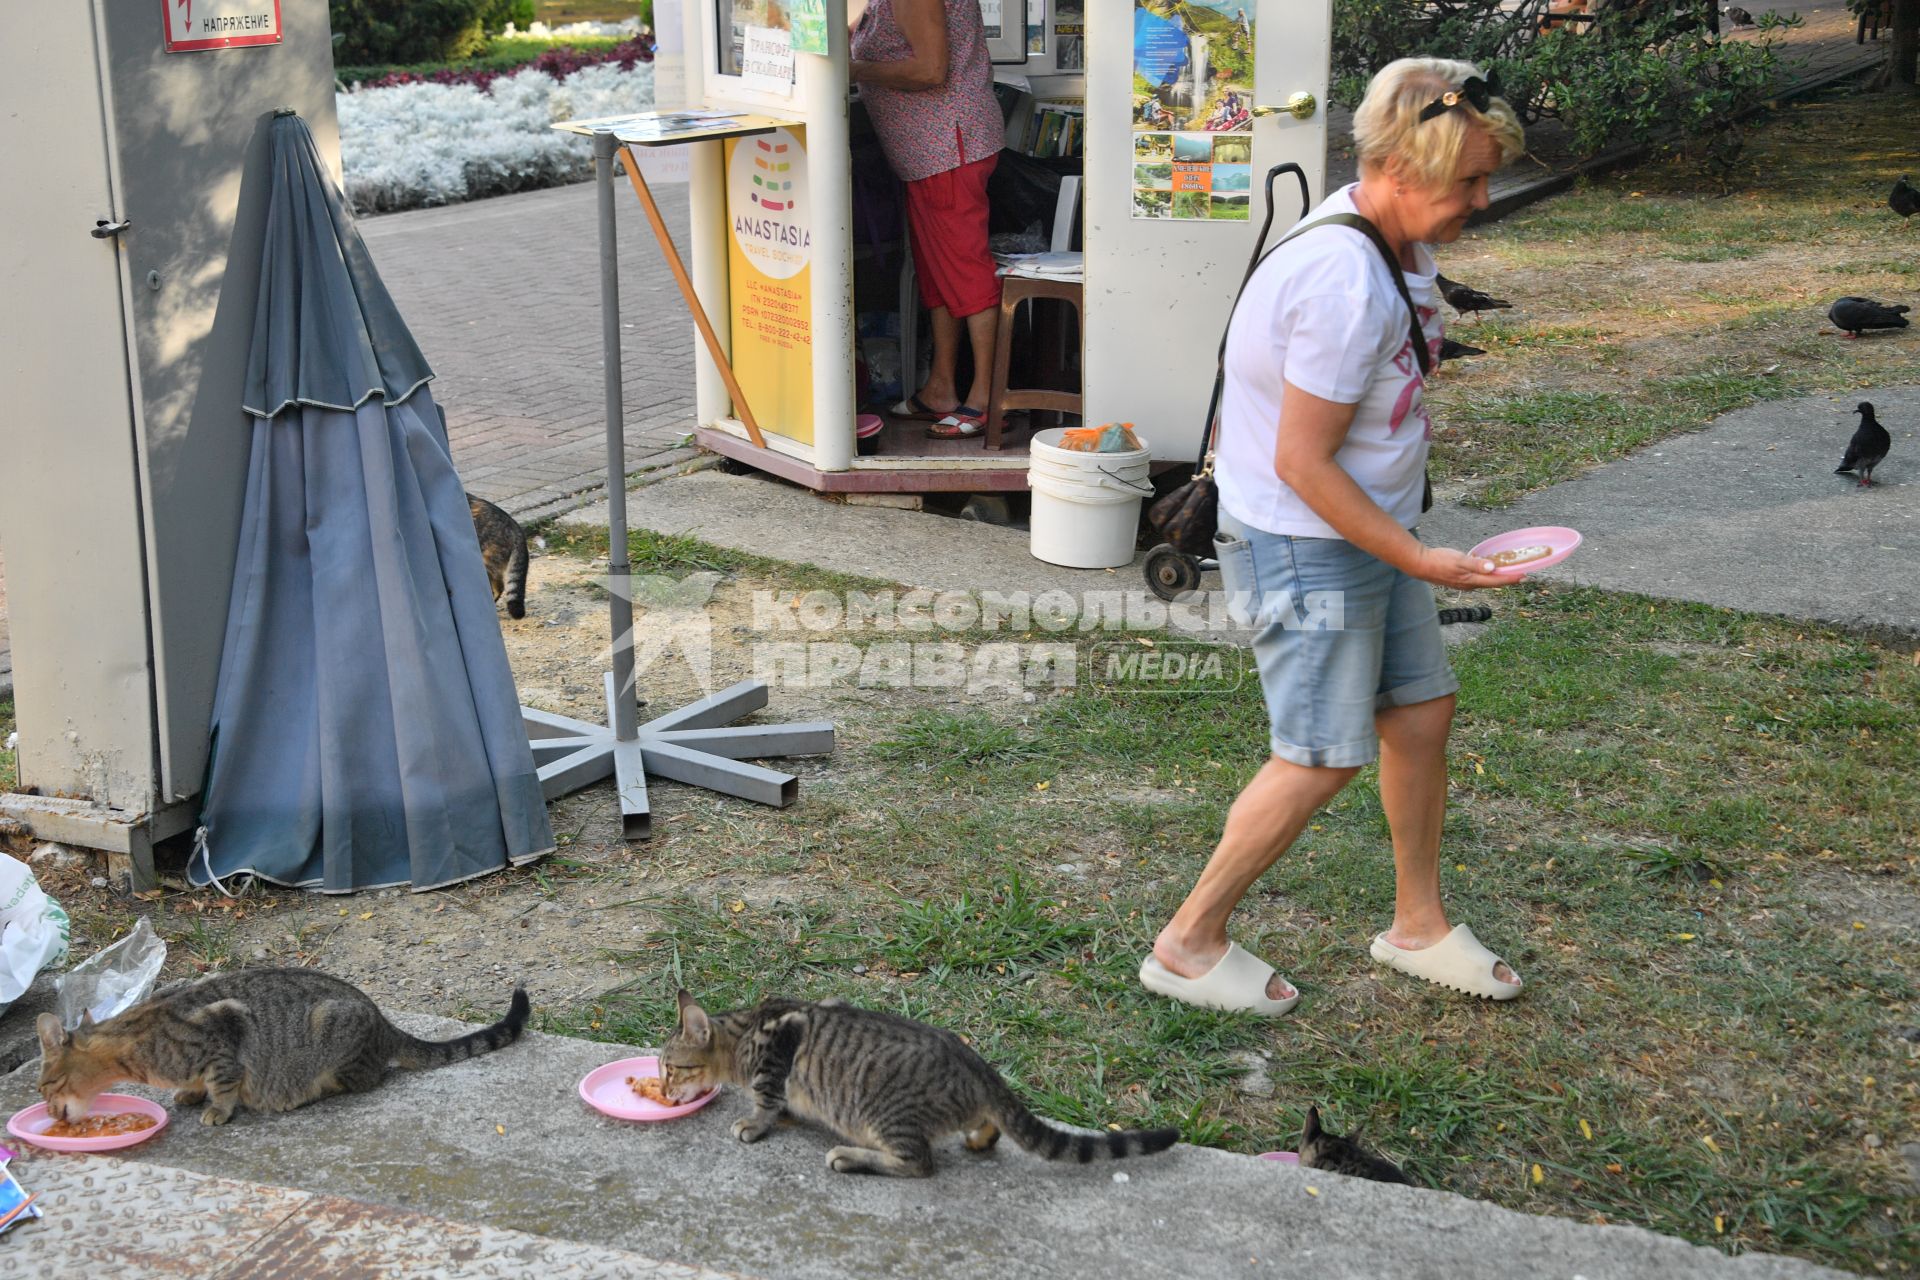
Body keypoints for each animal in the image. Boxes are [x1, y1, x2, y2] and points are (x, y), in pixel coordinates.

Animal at [37, 971, 529, 1128]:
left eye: (45, 1087)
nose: (50, 1112)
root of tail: (382, 1019)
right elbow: (198, 1083)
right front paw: (191, 1093)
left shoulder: (224, 1033)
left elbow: (223, 1082)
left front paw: (217, 1109)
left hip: (333, 1035)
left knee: (365, 1079)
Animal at [660, 990, 1175, 1182]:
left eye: (669, 1069)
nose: (662, 1092)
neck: (743, 1032)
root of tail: (979, 1067)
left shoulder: (775, 1056)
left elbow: (767, 1099)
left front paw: (753, 1122)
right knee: (990, 1127)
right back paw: (979, 1137)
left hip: (883, 1115)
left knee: (918, 1163)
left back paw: (849, 1157)